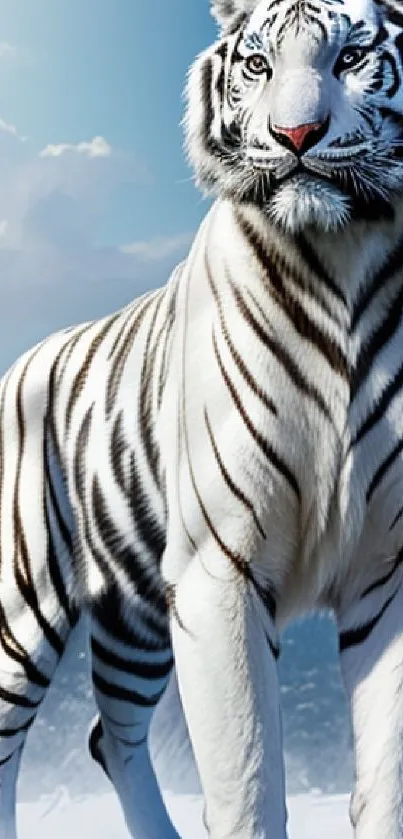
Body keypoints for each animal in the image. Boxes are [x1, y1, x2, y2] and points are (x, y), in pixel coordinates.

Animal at [0, 1, 403, 839]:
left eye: (351, 57)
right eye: (256, 65)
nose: (296, 135)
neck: (341, 252)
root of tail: (21, 358)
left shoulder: (387, 566)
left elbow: (387, 774)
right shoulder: (222, 565)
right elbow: (247, 777)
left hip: (136, 610)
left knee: (110, 731)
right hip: (29, 598)